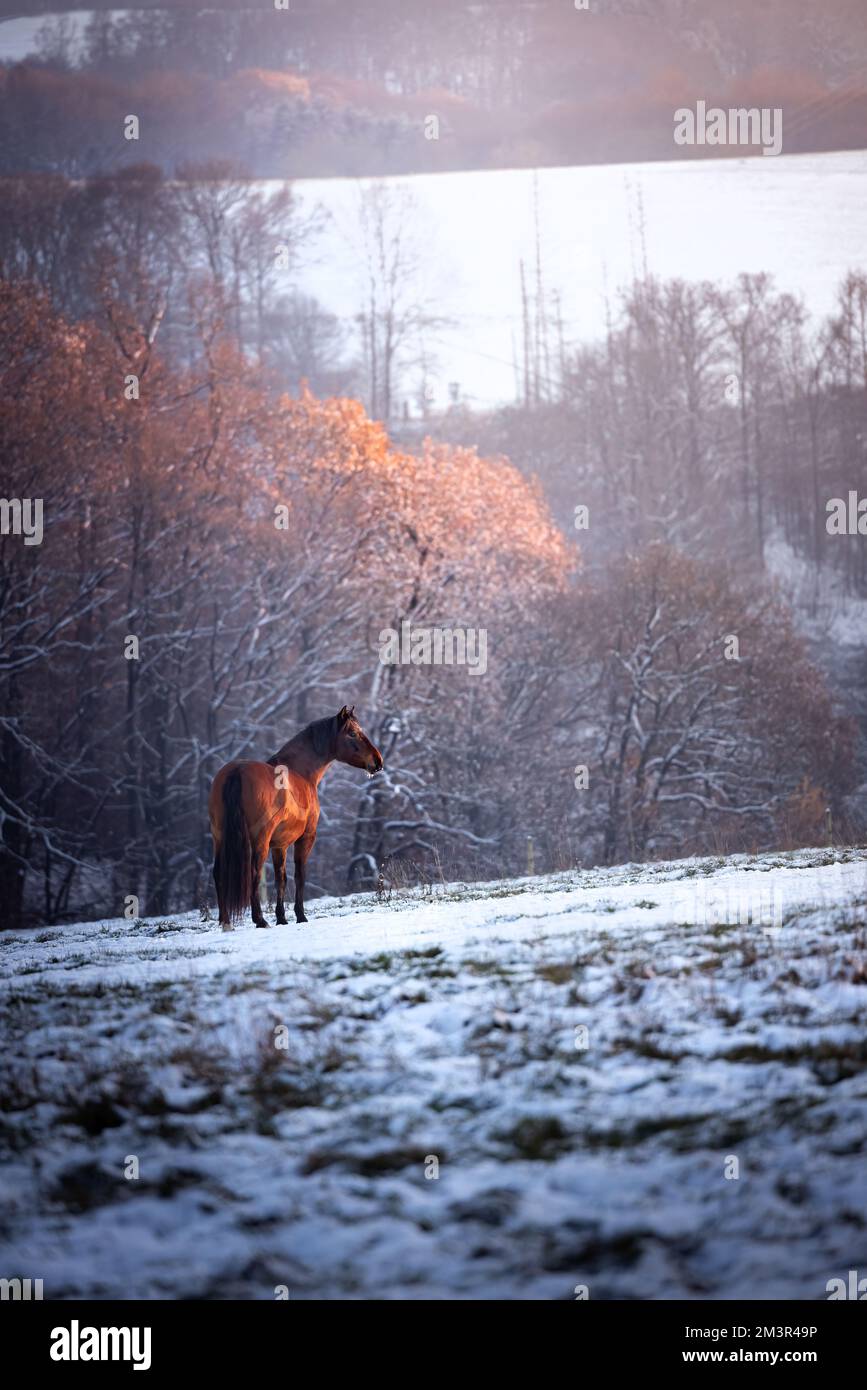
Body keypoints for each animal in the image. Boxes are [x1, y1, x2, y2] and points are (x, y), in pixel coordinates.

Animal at [208, 705, 383, 929]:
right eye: (352, 733)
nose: (377, 761)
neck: (300, 772)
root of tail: (236, 771)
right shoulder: (306, 838)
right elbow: (300, 875)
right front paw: (300, 915)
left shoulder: (279, 845)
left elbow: (280, 878)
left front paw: (282, 918)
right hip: (259, 840)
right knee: (254, 872)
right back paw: (259, 920)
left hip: (220, 837)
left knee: (219, 873)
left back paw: (226, 922)